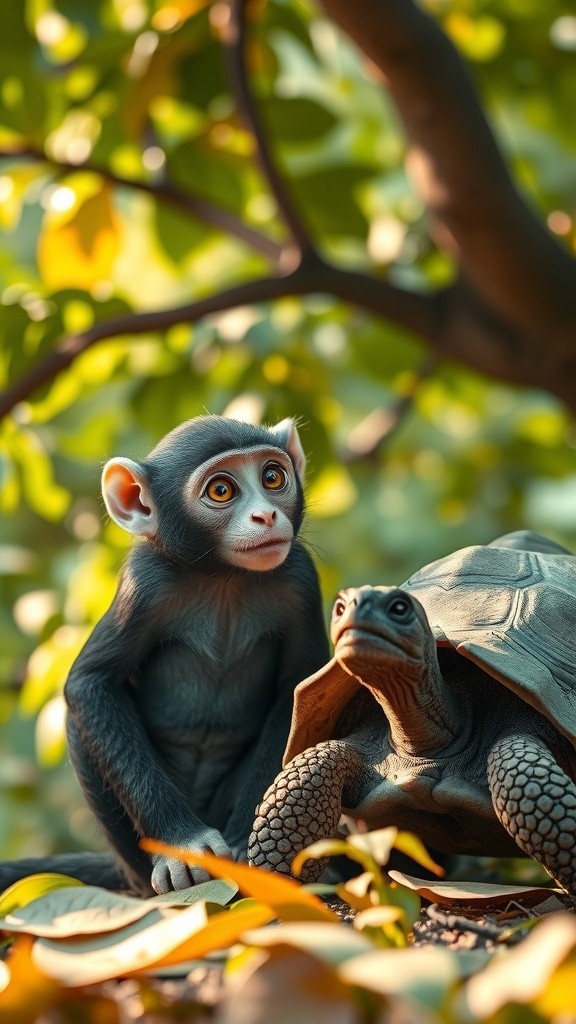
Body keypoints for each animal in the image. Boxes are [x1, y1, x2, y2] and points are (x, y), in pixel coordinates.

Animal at [0, 416, 329, 895]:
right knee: (80, 726)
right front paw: (183, 846)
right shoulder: (145, 582)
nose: (266, 515)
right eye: (221, 490)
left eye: (272, 477)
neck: (222, 576)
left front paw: (249, 844)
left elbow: (298, 690)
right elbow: (91, 683)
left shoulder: (301, 577)